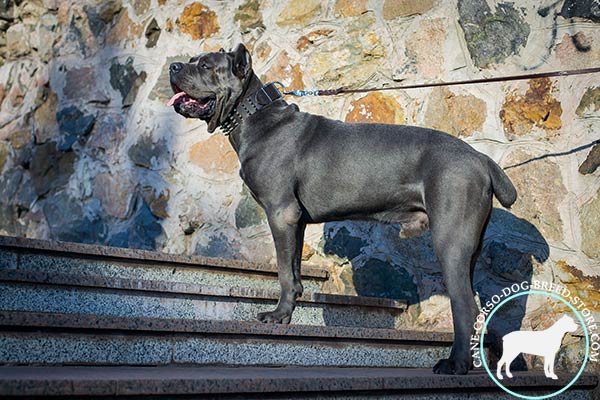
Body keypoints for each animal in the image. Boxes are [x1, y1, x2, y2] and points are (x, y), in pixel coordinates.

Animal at [168, 43, 516, 376]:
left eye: (205, 65)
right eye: (191, 60)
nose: (173, 66)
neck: (254, 116)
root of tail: (481, 158)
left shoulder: (280, 212)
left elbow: (282, 271)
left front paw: (278, 316)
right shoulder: (296, 220)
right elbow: (294, 269)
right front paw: (289, 311)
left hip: (449, 241)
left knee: (465, 306)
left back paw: (455, 364)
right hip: (469, 247)